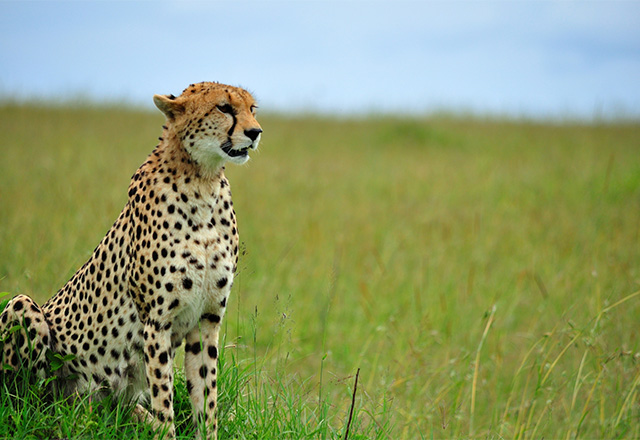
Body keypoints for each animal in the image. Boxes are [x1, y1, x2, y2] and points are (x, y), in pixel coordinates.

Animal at [0, 81, 262, 438]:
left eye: (252, 109)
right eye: (224, 107)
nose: (255, 132)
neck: (202, 180)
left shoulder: (207, 319)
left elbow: (206, 398)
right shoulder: (157, 321)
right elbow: (164, 399)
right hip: (23, 310)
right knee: (31, 402)